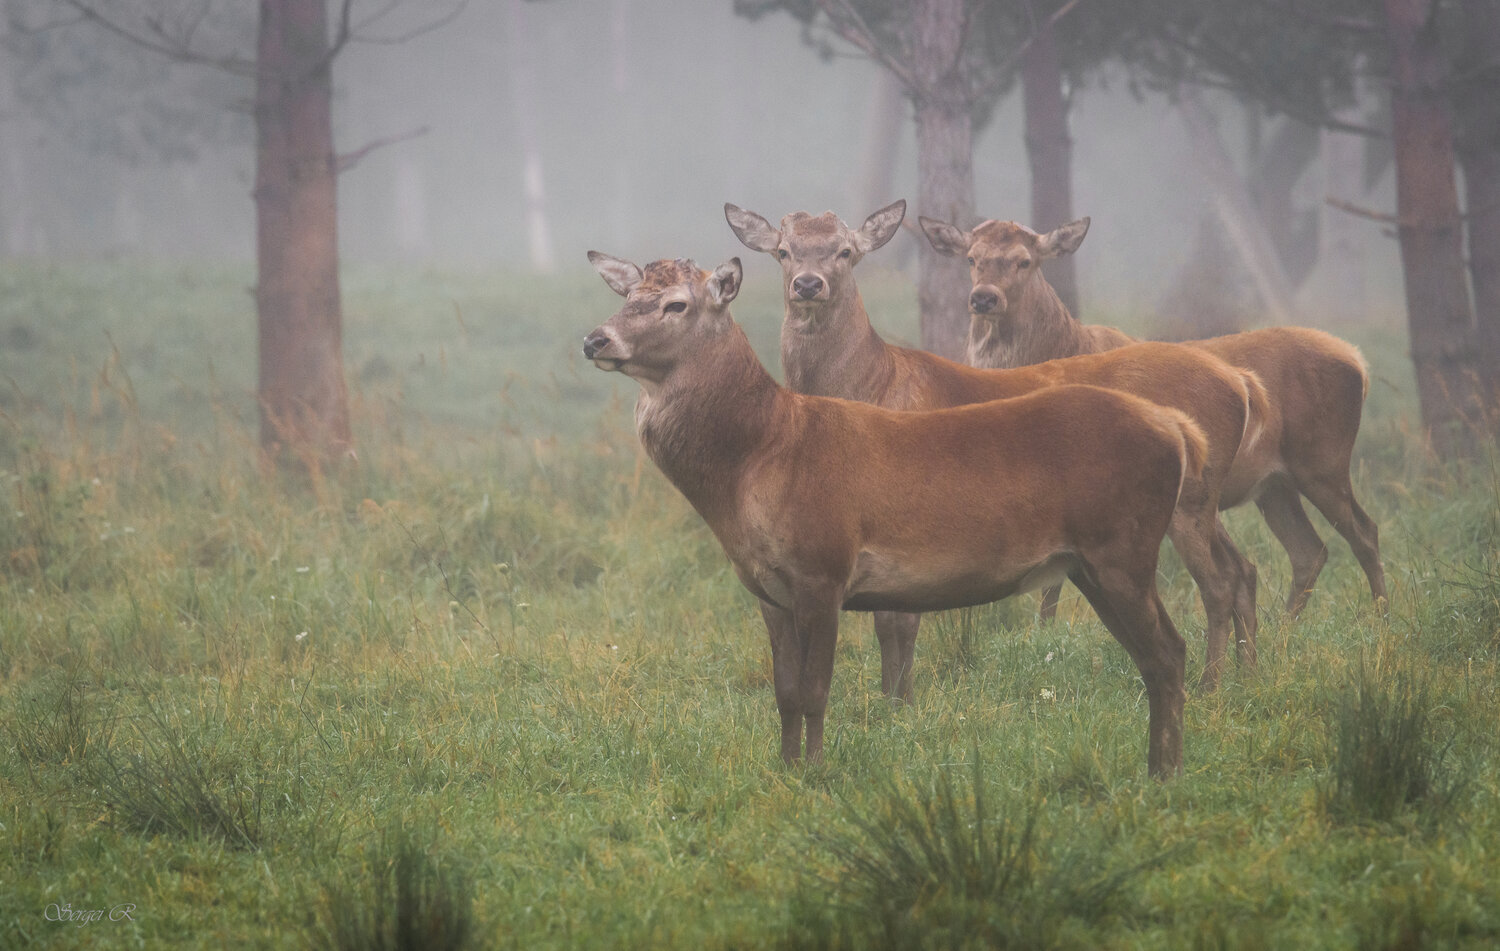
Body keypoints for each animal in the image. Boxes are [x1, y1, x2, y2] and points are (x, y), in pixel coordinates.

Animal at [582, 251, 1205, 777]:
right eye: (628, 294)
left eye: (675, 304)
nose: (594, 339)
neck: (758, 461)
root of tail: (1176, 429)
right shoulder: (767, 590)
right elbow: (783, 694)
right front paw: (784, 770)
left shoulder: (824, 567)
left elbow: (814, 691)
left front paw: (814, 774)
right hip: (1091, 564)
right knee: (1155, 657)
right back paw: (1158, 767)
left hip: (1124, 548)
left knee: (1170, 651)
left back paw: (1167, 773)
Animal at [726, 201, 1269, 691]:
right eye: (782, 251)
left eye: (845, 251)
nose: (808, 284)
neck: (874, 385)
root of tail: (1240, 382)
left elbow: (897, 622)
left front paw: (897, 706)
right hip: (1200, 498)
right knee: (1243, 567)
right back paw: (1248, 675)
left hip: (1189, 501)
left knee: (1218, 582)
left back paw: (1211, 687)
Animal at [918, 214, 1385, 619]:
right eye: (971, 258)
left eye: (1025, 261)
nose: (984, 297)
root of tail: (1359, 363)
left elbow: (1051, 588)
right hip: (1274, 485)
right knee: (1309, 550)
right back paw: (1284, 632)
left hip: (1322, 462)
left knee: (1364, 532)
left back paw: (1381, 620)